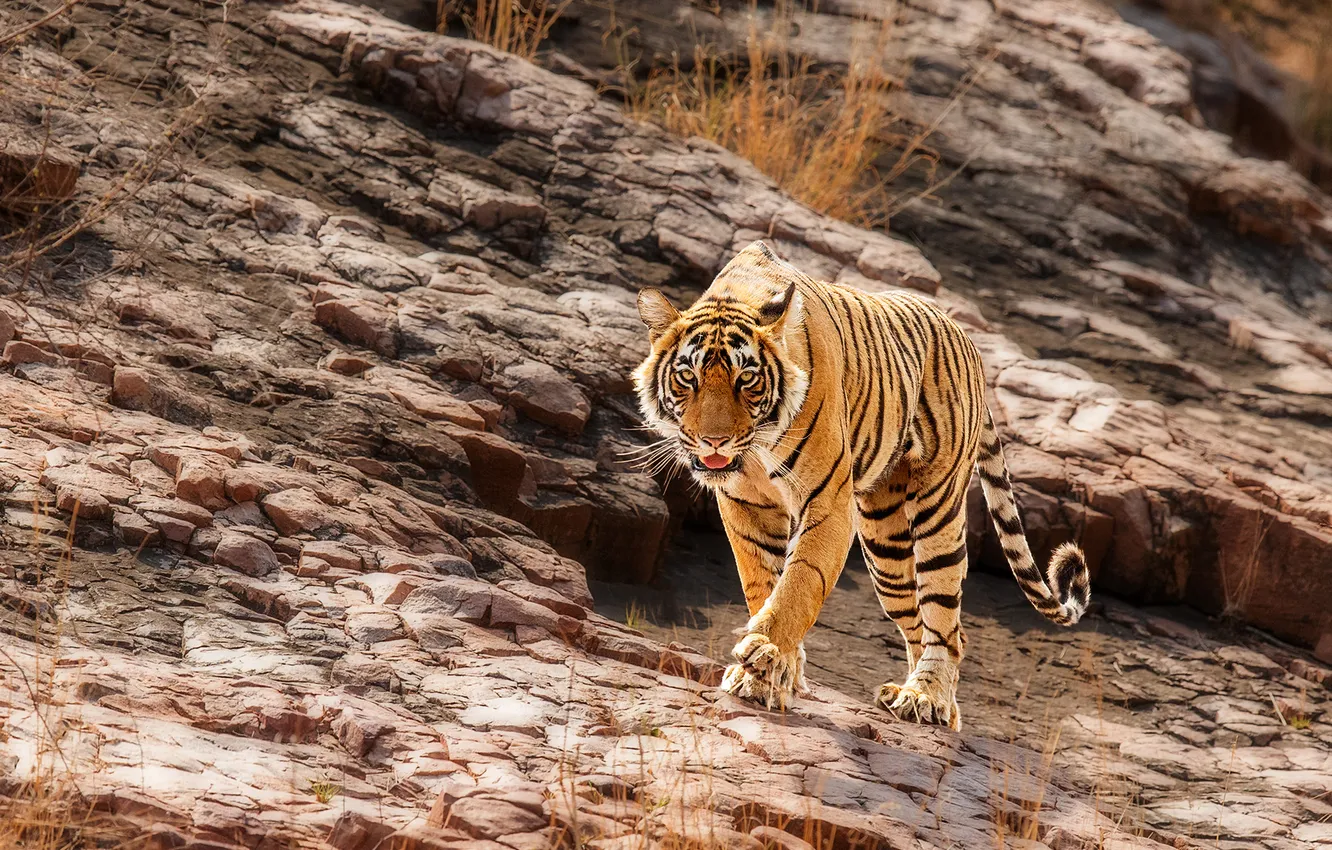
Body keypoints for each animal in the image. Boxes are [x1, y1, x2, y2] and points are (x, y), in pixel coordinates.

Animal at [633, 241, 1091, 728]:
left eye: (747, 379)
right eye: (688, 377)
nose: (713, 441)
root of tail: (966, 339)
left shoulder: (828, 502)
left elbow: (799, 583)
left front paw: (766, 654)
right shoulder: (745, 504)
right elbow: (762, 583)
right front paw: (771, 675)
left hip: (938, 510)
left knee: (947, 622)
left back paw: (927, 698)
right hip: (885, 546)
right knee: (919, 621)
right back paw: (927, 703)